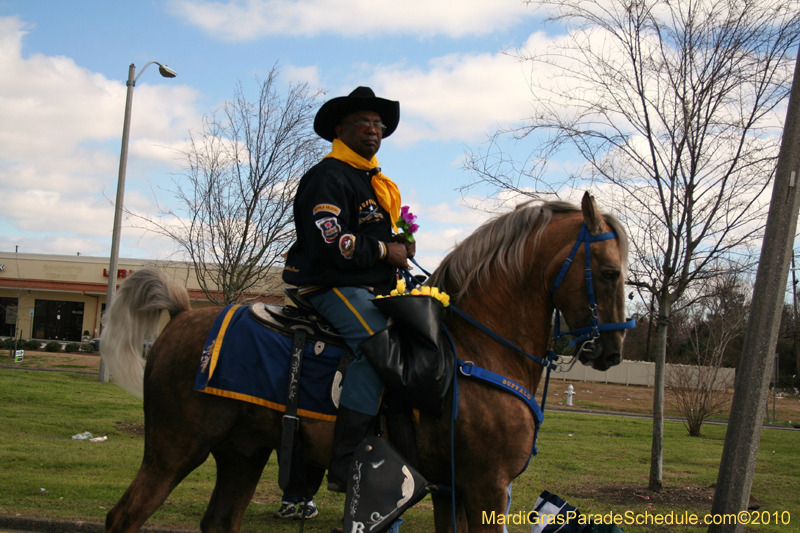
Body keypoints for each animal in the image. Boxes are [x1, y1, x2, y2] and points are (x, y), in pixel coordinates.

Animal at [101, 191, 632, 532]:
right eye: (609, 272)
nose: (611, 353)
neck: (476, 350)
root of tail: (183, 315)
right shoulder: (486, 487)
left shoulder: (453, 490)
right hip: (174, 449)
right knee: (123, 516)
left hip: (242, 453)